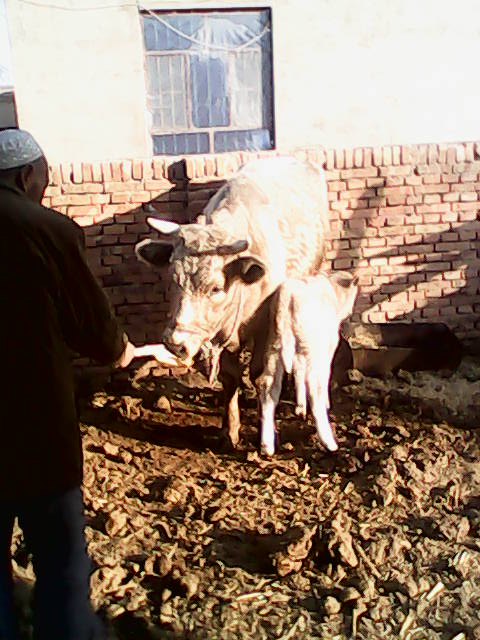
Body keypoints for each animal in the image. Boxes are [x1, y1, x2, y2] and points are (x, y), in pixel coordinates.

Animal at [135, 157, 330, 448]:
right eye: (173, 279)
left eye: (216, 288)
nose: (175, 343)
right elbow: (230, 377)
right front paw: (230, 429)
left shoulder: (265, 327)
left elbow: (259, 374)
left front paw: (264, 427)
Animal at [250, 271, 359, 456]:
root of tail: (287, 293)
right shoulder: (327, 348)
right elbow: (324, 376)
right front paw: (324, 402)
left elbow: (298, 371)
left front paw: (300, 407)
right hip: (310, 347)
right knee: (314, 385)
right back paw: (329, 442)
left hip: (275, 345)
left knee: (268, 385)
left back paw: (267, 446)